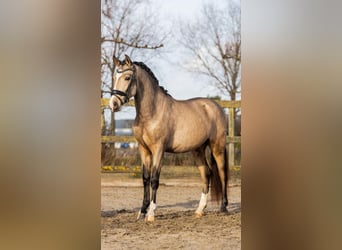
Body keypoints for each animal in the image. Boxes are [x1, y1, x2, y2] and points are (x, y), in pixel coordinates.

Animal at [109, 54, 228, 221]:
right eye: (114, 77)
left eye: (127, 77)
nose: (113, 104)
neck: (152, 112)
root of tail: (215, 106)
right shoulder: (143, 150)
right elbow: (145, 178)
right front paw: (142, 211)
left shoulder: (159, 150)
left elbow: (154, 179)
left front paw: (151, 213)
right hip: (198, 150)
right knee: (207, 174)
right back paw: (199, 210)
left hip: (217, 146)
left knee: (222, 173)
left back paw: (224, 207)